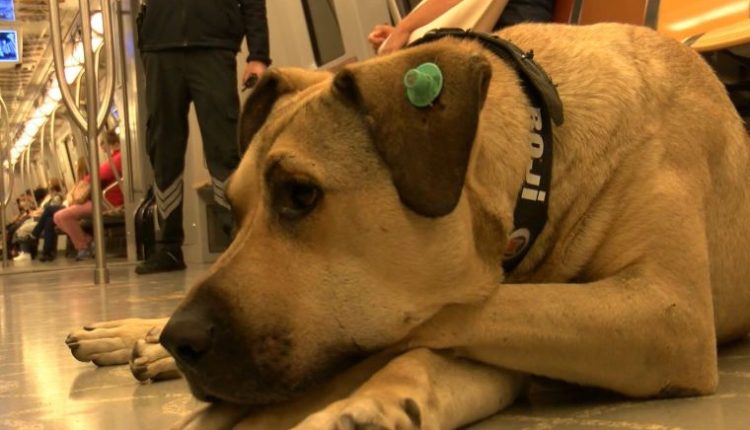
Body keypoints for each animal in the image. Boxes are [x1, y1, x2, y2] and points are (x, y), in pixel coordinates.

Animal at [67, 23, 750, 429]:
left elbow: (426, 330)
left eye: (300, 195)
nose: (183, 341)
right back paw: (132, 337)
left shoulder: (665, 313)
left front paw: (358, 400)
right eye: (232, 211)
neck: (541, 162)